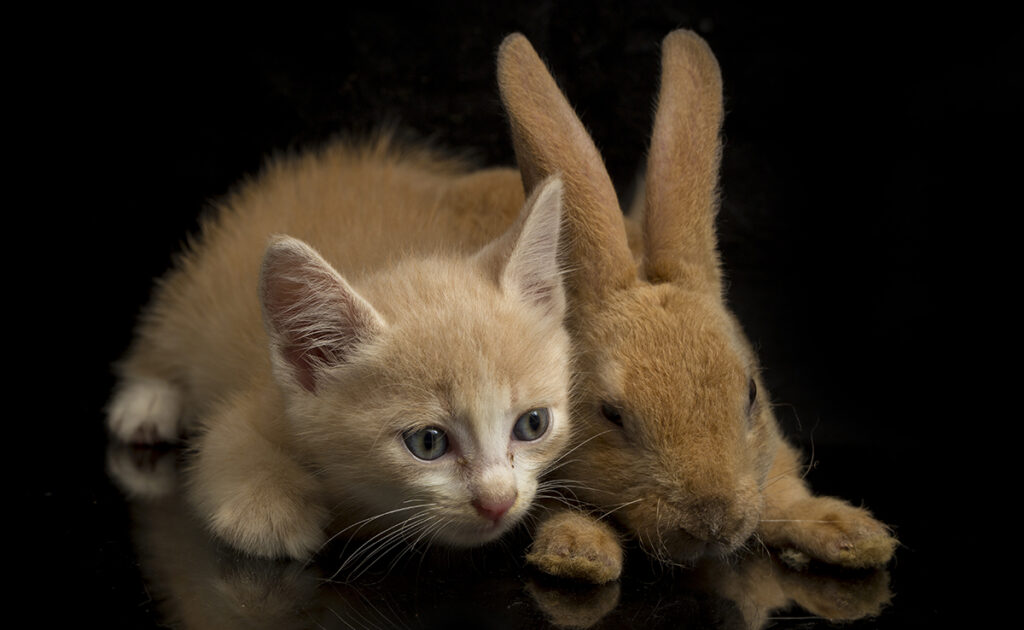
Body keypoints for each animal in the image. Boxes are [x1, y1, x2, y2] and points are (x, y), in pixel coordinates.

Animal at [107, 141, 573, 561]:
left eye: (533, 424)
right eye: (427, 442)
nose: (498, 502)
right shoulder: (256, 404)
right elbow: (224, 446)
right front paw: (272, 512)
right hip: (202, 280)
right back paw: (148, 402)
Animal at [479, 28, 897, 581]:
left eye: (750, 394)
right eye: (611, 415)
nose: (712, 521)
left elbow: (786, 497)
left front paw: (853, 535)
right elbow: (554, 506)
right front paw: (578, 555)